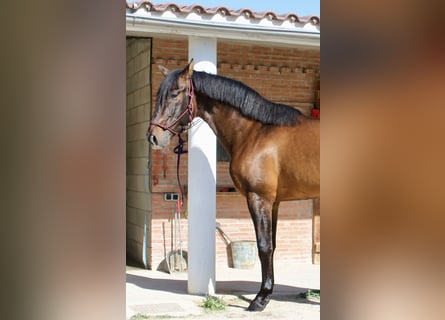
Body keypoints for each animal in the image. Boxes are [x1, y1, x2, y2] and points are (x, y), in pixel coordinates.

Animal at [147, 60, 318, 312]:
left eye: (175, 93)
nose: (153, 137)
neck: (255, 131)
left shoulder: (259, 198)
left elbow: (264, 246)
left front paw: (260, 299)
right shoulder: (274, 202)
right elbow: (272, 245)